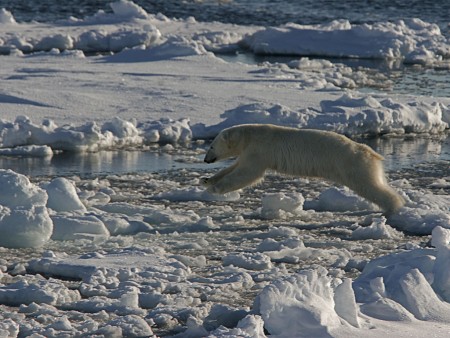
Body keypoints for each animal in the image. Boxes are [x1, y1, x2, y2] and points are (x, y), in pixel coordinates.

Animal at [202, 124, 406, 214]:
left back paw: (393, 207)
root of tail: (371, 152)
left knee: (368, 185)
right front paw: (206, 180)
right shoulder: (248, 151)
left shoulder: (259, 150)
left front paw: (215, 189)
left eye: (211, 146)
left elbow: (248, 173)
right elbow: (236, 166)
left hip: (351, 164)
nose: (205, 160)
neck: (249, 135)